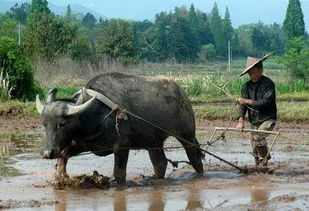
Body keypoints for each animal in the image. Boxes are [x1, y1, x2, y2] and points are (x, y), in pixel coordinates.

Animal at [36, 72, 203, 185]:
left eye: (62, 124)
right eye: (44, 124)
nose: (47, 153)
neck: (96, 116)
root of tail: (182, 93)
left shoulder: (122, 146)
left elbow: (119, 174)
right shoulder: (79, 144)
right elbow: (62, 159)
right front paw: (61, 177)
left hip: (187, 134)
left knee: (195, 158)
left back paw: (200, 175)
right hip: (153, 142)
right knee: (160, 163)